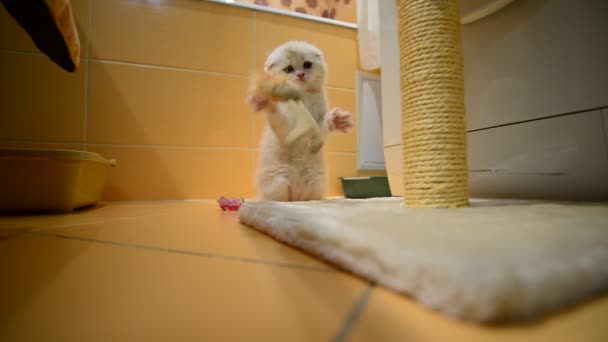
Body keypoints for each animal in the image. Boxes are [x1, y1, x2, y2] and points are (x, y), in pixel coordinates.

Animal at [247, 40, 352, 202]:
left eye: (307, 65)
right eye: (288, 69)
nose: (301, 74)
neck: (303, 96)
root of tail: (297, 196)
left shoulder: (317, 126)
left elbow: (324, 124)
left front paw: (337, 120)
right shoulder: (286, 130)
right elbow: (278, 117)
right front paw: (266, 102)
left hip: (317, 181)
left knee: (310, 199)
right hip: (279, 182)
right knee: (279, 199)